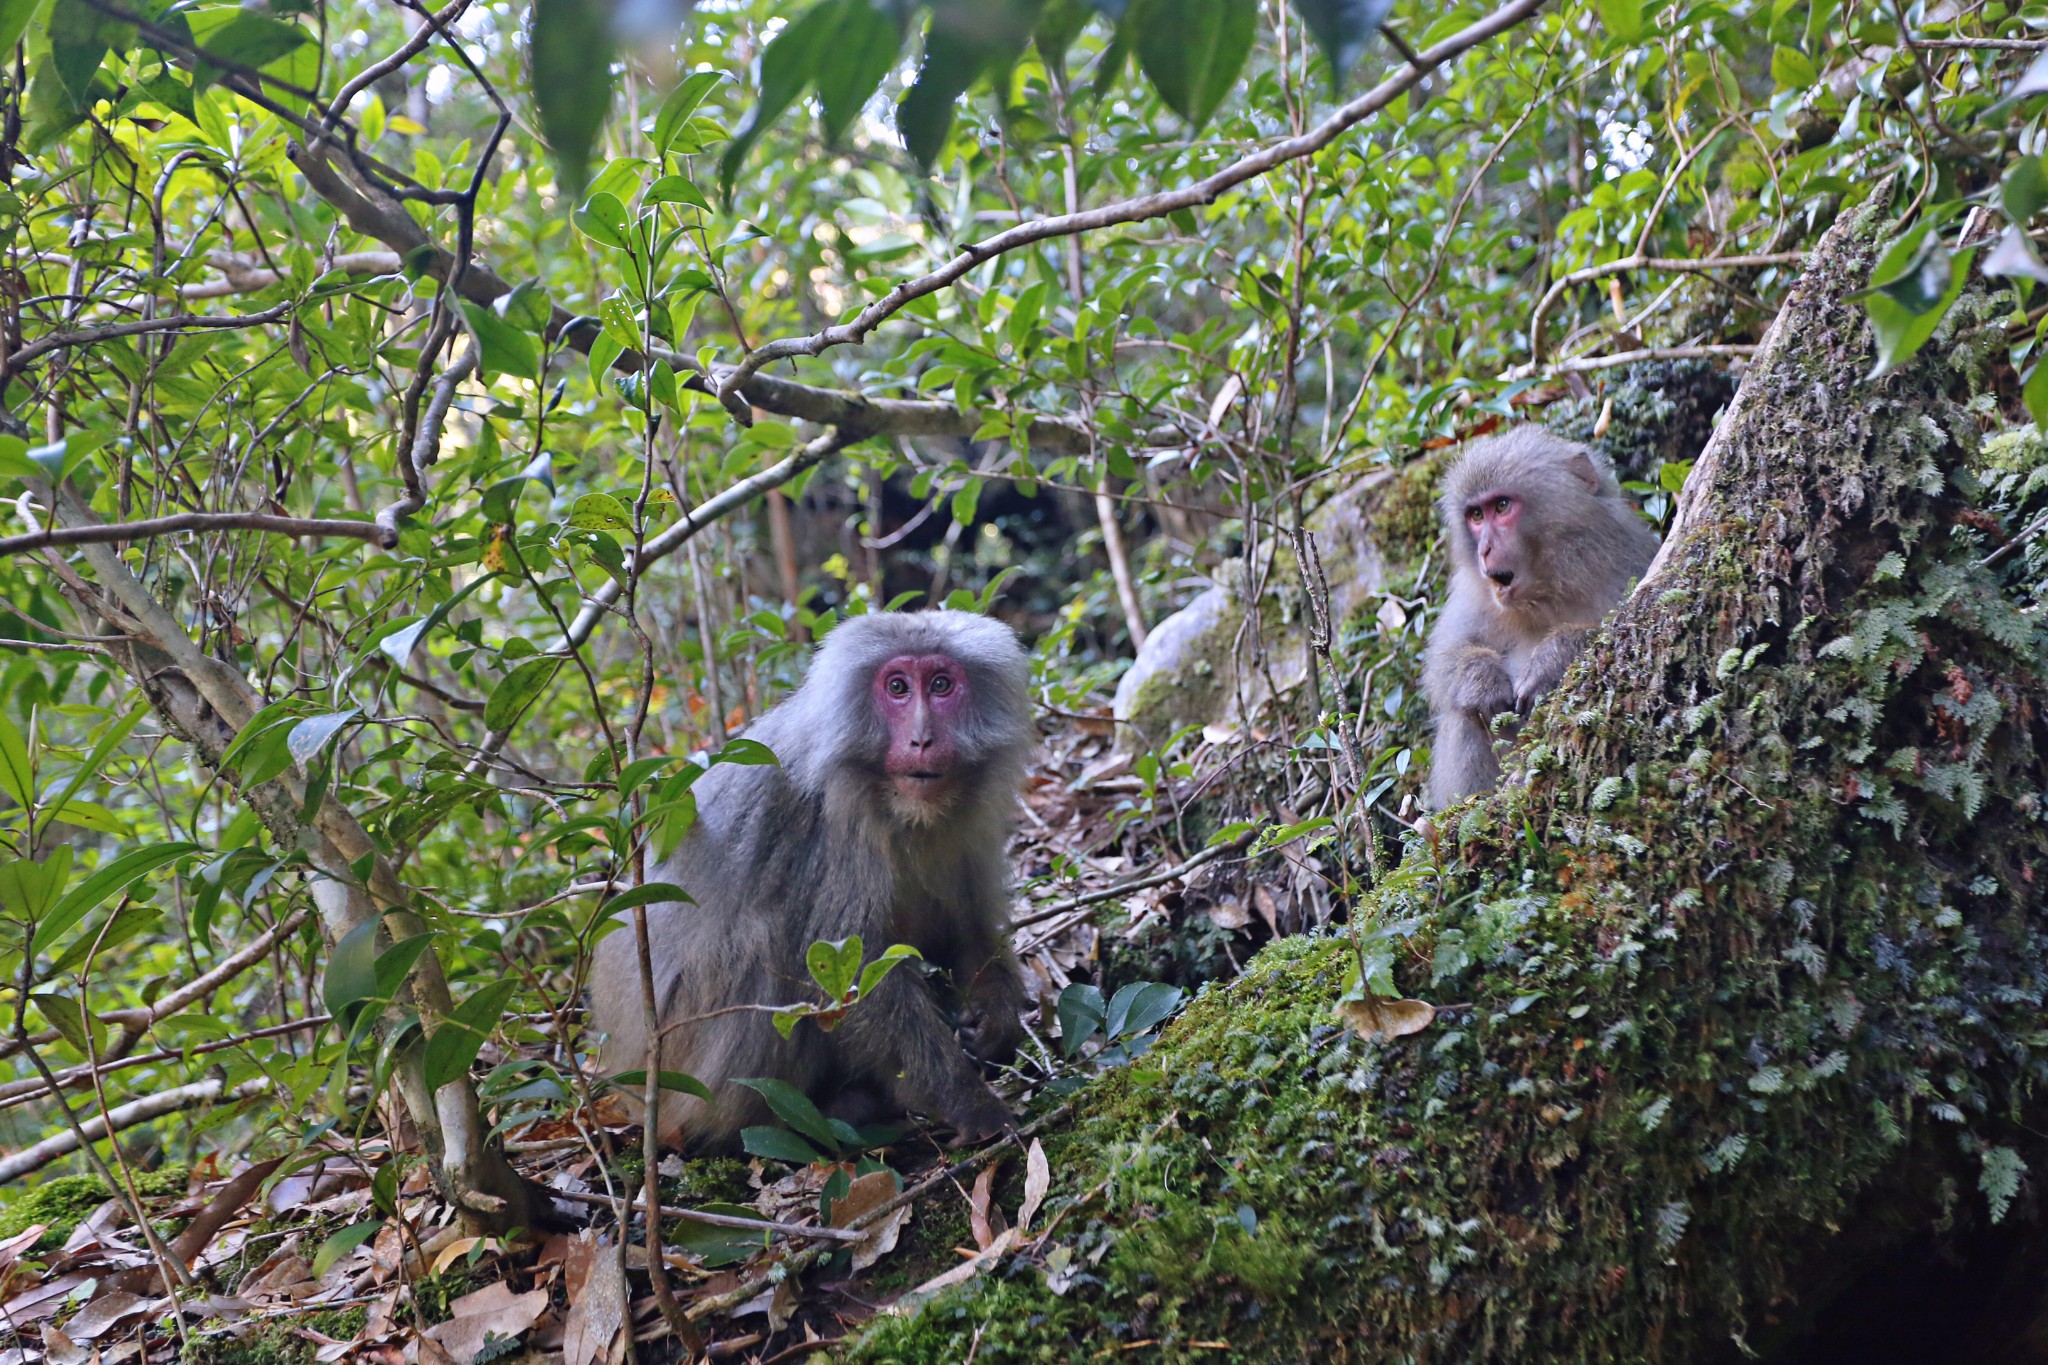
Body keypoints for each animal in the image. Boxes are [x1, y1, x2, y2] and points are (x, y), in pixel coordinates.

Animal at [593, 609, 1040, 1154]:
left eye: (940, 685)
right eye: (897, 687)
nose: (921, 739)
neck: (894, 804)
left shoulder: (969, 822)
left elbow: (966, 926)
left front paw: (997, 1024)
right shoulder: (831, 833)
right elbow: (850, 972)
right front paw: (967, 1102)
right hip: (687, 1070)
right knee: (767, 942)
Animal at [1425, 429, 1662, 810]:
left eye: (1501, 507)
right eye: (1476, 515)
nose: (1484, 549)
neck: (1550, 589)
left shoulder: (1633, 561)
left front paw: (1552, 660)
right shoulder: (1472, 590)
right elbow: (1445, 660)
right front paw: (1483, 679)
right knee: (1463, 712)